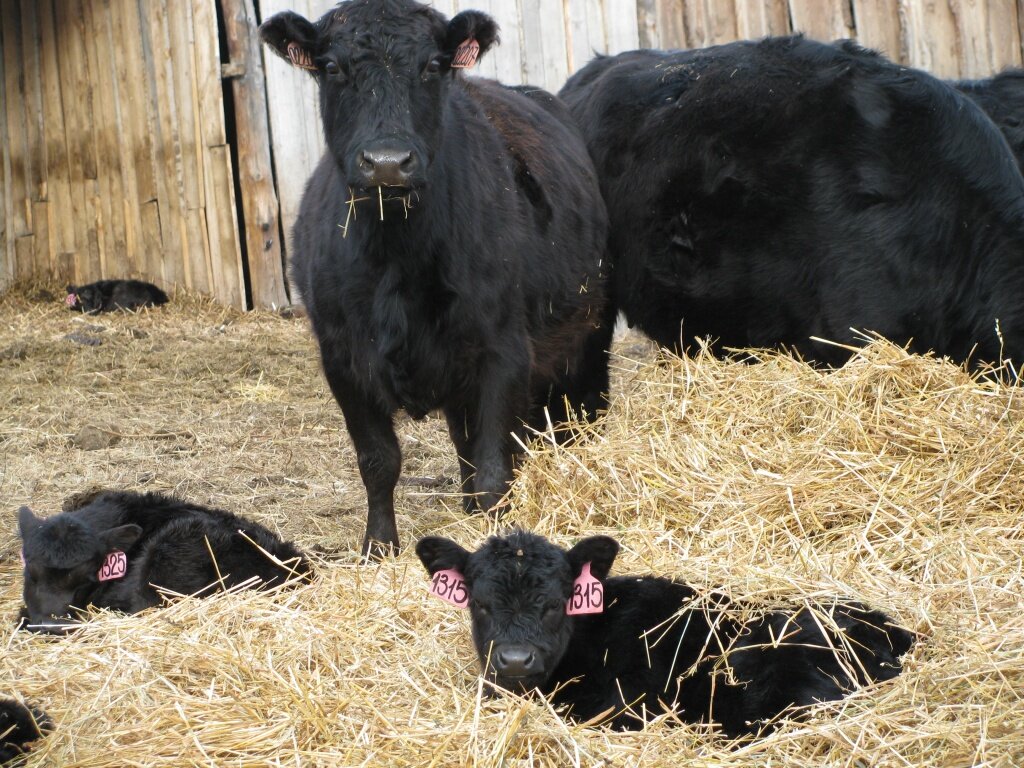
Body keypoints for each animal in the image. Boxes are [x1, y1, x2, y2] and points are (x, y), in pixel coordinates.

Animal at [260, 0, 606, 552]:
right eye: (332, 68)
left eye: (432, 66)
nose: (386, 163)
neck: (395, 256)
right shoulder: (342, 358)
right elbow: (379, 461)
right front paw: (378, 548)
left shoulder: (504, 352)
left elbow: (494, 466)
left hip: (586, 334)